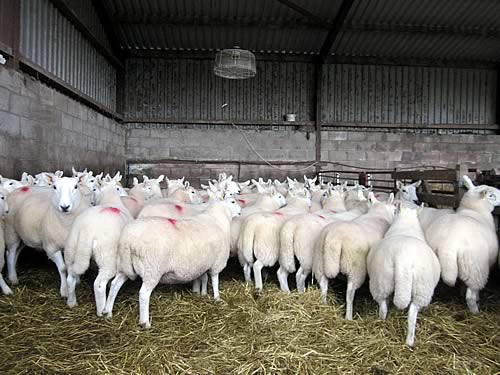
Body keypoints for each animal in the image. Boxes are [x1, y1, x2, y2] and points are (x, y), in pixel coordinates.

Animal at [65, 178, 134, 316]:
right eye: (118, 188)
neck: (110, 200)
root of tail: (87, 230)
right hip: (107, 256)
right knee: (99, 285)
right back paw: (101, 311)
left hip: (71, 249)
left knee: (70, 278)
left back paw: (71, 303)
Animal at [102, 198, 241, 328]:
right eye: (233, 201)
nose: (240, 211)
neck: (218, 219)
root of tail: (128, 240)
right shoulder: (216, 262)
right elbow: (214, 280)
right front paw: (217, 298)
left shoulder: (201, 262)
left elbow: (203, 278)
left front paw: (201, 293)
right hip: (152, 270)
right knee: (143, 294)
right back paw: (145, 322)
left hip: (124, 265)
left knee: (114, 285)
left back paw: (108, 312)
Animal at [366, 207, 440, 348]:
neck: (406, 224)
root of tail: (403, 259)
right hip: (421, 291)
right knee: (411, 314)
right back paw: (409, 341)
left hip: (382, 282)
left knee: (384, 308)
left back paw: (385, 326)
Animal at [424, 176, 498, 314]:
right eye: (492, 196)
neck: (476, 211)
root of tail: (448, 245)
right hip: (476, 268)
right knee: (471, 295)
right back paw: (475, 312)